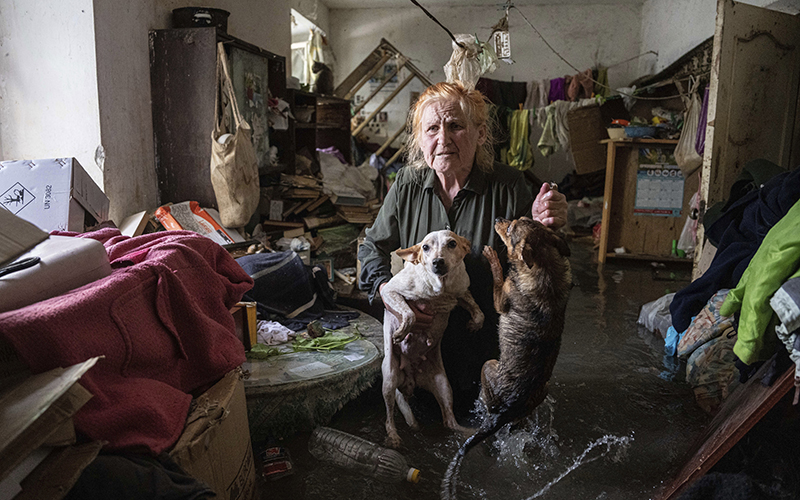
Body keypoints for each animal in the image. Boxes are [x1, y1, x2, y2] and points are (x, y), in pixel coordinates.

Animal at [380, 230, 484, 450]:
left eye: (452, 244)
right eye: (425, 247)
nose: (438, 261)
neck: (440, 289)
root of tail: (410, 379)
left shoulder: (462, 292)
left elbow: (478, 311)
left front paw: (474, 324)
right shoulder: (390, 291)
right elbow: (410, 313)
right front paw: (401, 333)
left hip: (444, 386)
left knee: (449, 420)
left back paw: (468, 433)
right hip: (389, 380)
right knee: (389, 417)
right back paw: (393, 437)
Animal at [444, 217, 568, 498]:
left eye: (510, 229)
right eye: (522, 219)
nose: (500, 219)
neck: (544, 266)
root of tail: (506, 411)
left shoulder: (502, 299)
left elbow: (500, 276)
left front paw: (492, 256)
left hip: (488, 366)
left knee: (488, 401)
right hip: (541, 391)